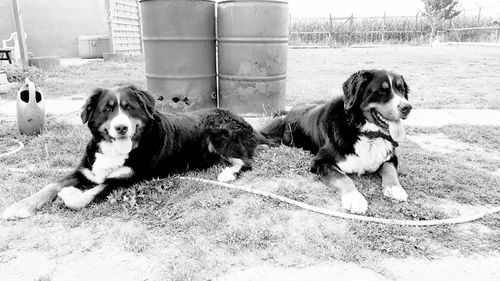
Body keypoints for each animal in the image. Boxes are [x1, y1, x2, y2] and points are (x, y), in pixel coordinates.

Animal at [2, 85, 266, 219]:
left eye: (129, 108)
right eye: (107, 109)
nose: (121, 128)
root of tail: (247, 123)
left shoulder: (127, 179)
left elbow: (86, 196)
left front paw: (68, 195)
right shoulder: (86, 170)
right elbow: (50, 186)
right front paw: (20, 206)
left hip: (219, 135)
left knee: (245, 161)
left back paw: (227, 173)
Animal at [260, 69, 412, 212]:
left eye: (401, 90)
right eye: (381, 91)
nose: (407, 107)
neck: (368, 135)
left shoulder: (390, 157)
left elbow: (389, 169)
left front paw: (395, 188)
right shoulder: (321, 161)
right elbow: (343, 178)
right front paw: (354, 198)